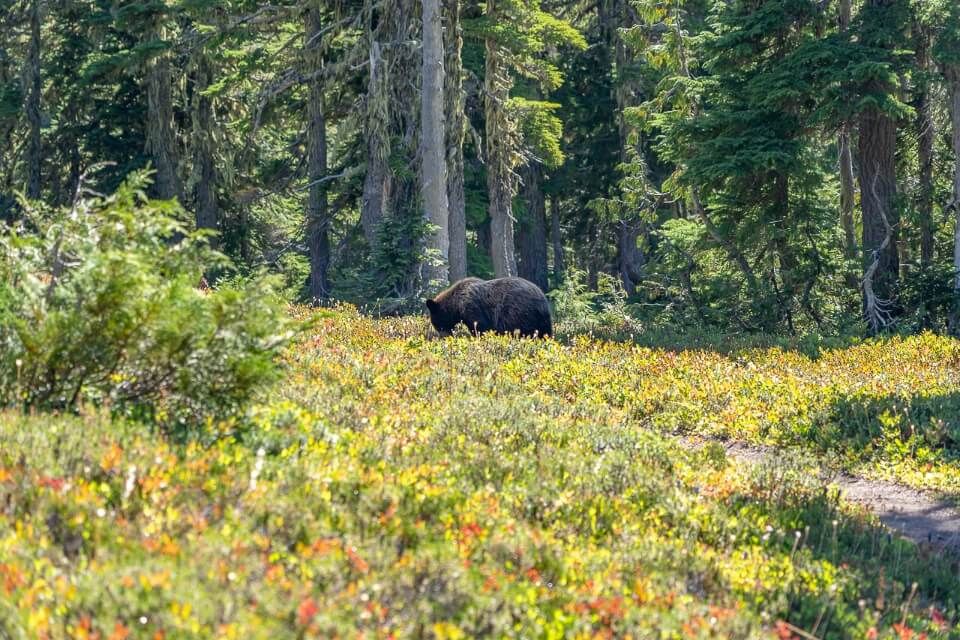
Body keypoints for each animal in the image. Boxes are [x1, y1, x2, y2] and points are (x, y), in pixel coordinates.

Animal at [424, 276, 552, 338]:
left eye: (436, 323)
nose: (443, 336)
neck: (456, 305)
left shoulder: (471, 307)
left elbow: (480, 326)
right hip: (543, 321)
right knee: (545, 333)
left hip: (519, 313)